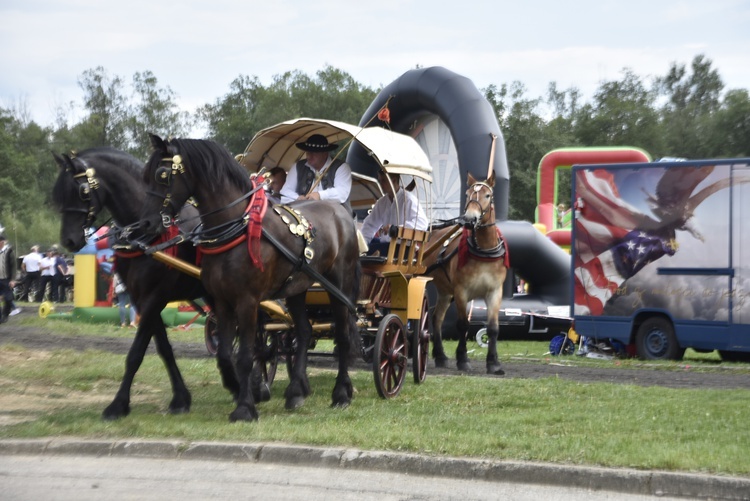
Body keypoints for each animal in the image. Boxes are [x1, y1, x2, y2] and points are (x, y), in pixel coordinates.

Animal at [50, 147, 209, 418]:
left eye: (81, 191)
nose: (68, 241)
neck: (147, 234)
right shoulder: (141, 298)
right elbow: (164, 348)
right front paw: (180, 398)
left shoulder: (156, 296)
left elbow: (136, 353)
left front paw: (118, 404)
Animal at [141, 134, 364, 422]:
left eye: (162, 174)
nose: (146, 224)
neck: (238, 228)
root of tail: (342, 215)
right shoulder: (222, 301)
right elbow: (226, 354)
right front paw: (242, 390)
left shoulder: (247, 301)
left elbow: (246, 355)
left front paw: (245, 408)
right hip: (296, 289)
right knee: (304, 332)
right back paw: (296, 392)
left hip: (339, 285)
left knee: (344, 336)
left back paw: (341, 394)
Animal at [426, 170, 508, 374]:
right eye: (468, 194)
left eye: (488, 195)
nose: (470, 219)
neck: (484, 251)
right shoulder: (461, 291)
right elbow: (463, 324)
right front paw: (462, 359)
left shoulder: (495, 291)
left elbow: (493, 327)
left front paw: (493, 363)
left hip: (445, 291)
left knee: (437, 317)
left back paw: (440, 355)